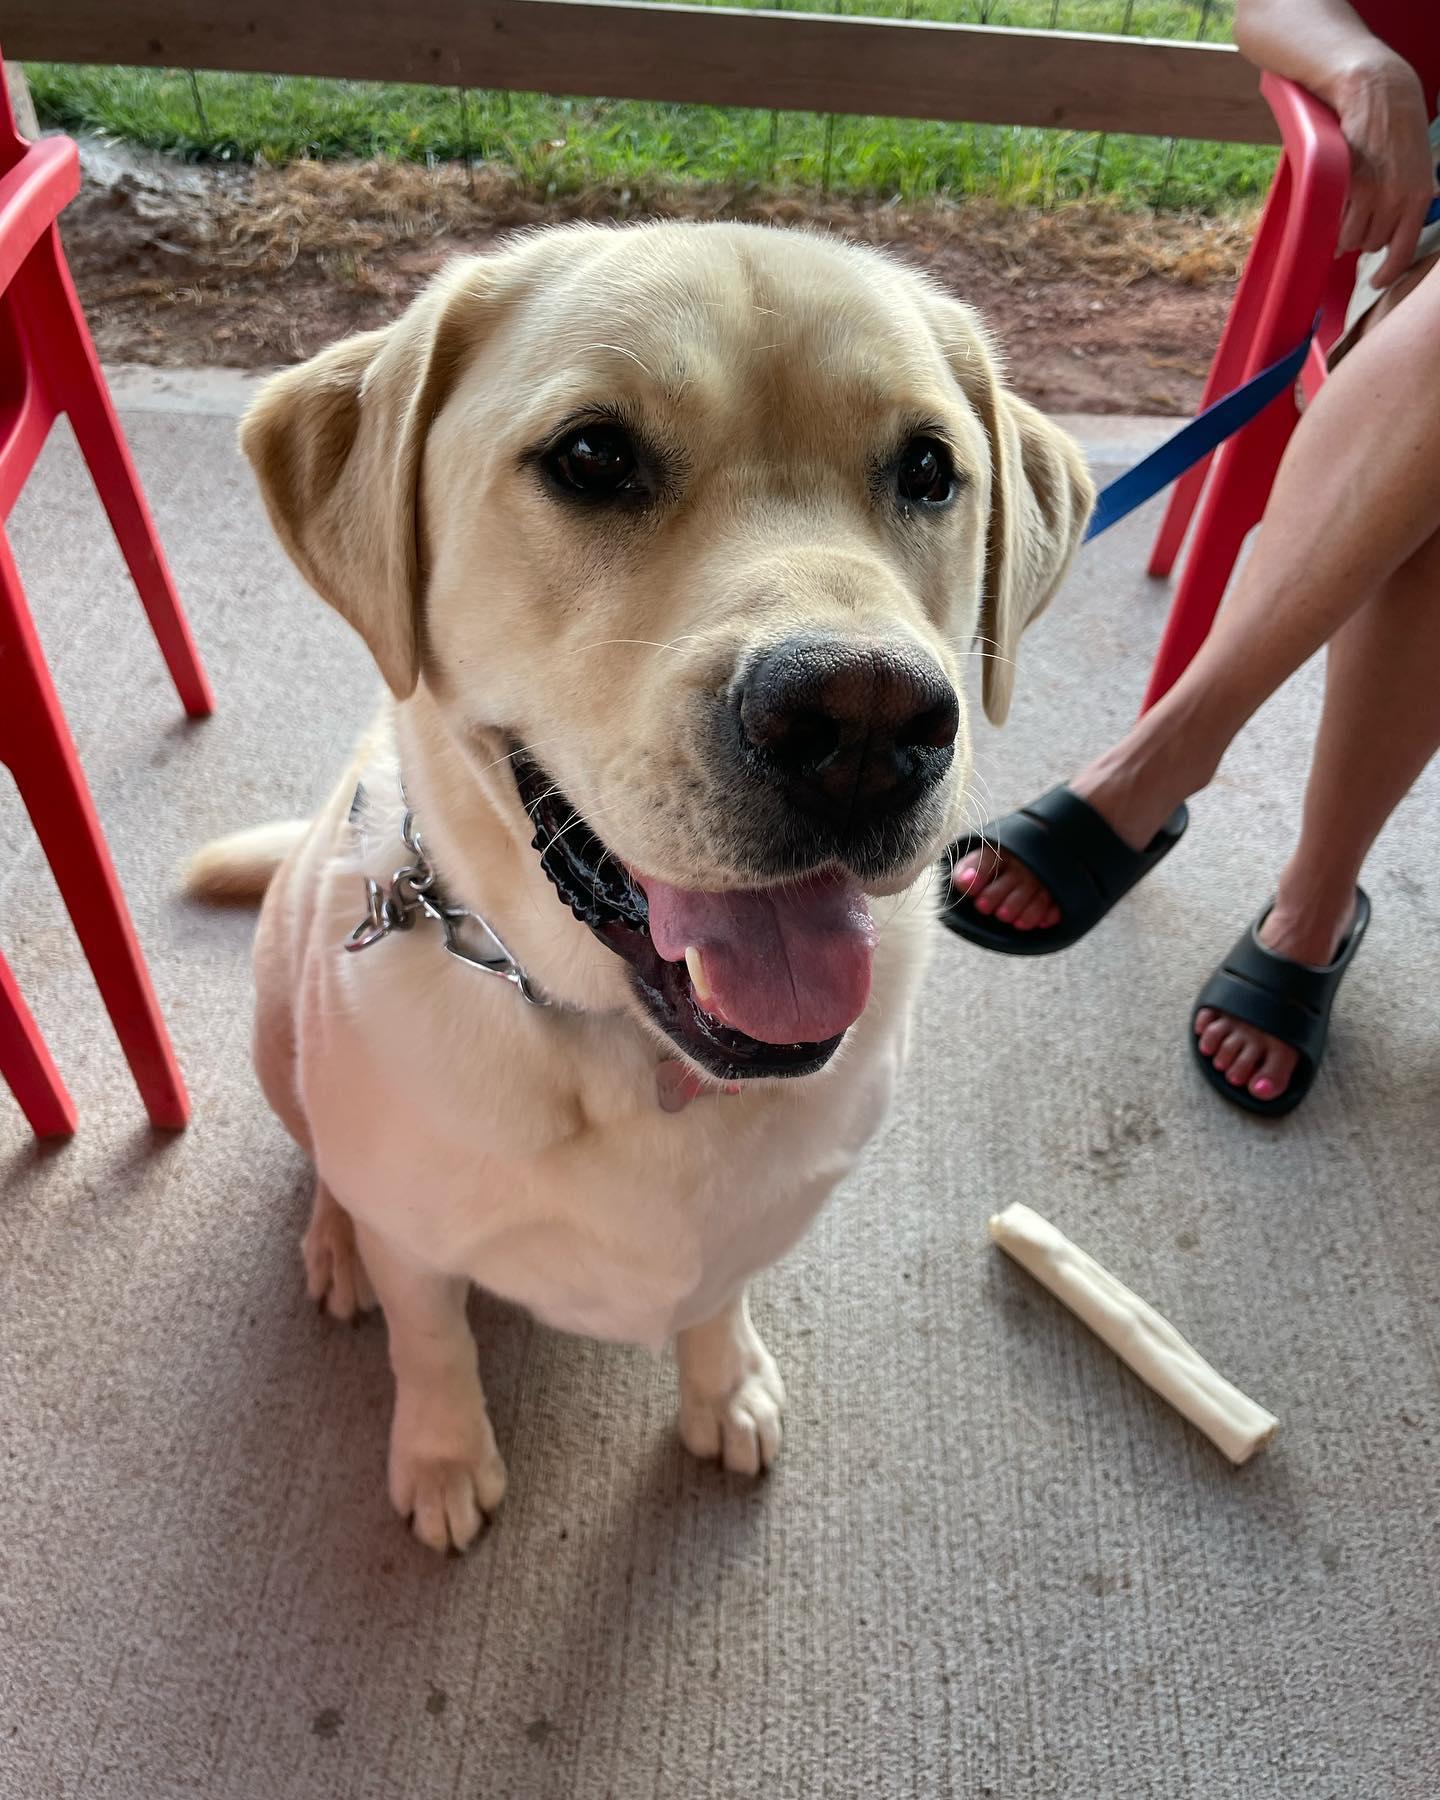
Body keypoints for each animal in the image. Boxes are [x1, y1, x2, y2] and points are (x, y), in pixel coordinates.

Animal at [190, 221, 1094, 1548]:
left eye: (932, 470)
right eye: (592, 455)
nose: (867, 725)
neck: (623, 1041)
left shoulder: (745, 1232)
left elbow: (714, 1303)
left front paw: (725, 1391)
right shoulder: (424, 1250)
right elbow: (431, 1341)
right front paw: (444, 1458)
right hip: (275, 1015)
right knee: (324, 1164)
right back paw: (335, 1245)